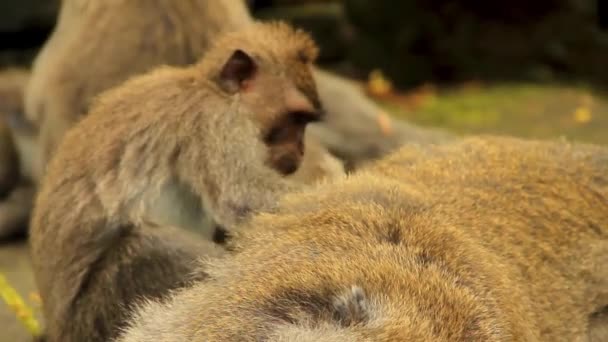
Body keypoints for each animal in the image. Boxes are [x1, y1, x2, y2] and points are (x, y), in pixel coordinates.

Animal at [30, 21, 334, 342]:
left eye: (305, 121)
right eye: (296, 118)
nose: (301, 150)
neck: (212, 88)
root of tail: (58, 330)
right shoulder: (215, 120)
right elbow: (243, 197)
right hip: (96, 316)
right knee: (150, 245)